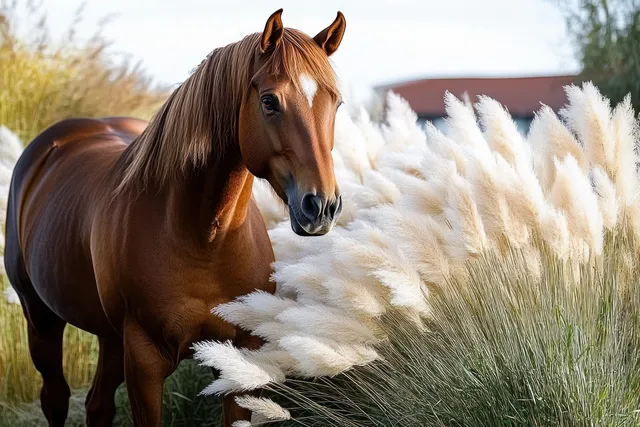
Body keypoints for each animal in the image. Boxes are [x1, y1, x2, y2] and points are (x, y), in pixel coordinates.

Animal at [3, 9, 346, 426]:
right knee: (55, 398)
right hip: (41, 319)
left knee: (98, 405)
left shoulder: (240, 358)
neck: (206, 238)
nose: (321, 206)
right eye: (269, 101)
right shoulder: (145, 360)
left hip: (109, 337)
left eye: (336, 103)